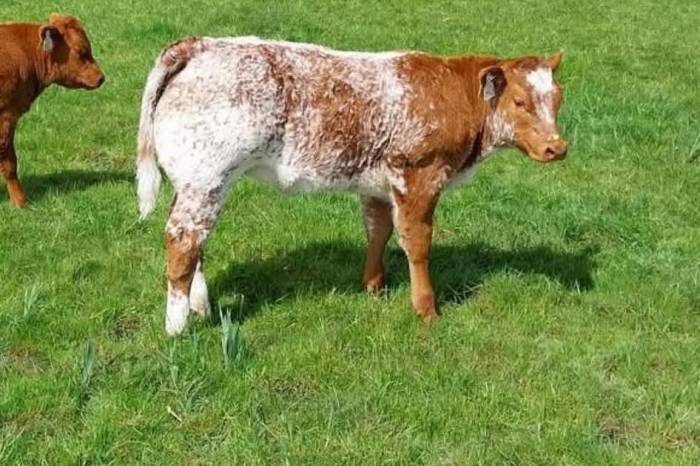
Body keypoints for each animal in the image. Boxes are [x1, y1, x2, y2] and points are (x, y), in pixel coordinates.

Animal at [136, 37, 567, 336]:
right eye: (519, 101)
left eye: (558, 99)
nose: (557, 147)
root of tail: (200, 44)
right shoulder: (420, 175)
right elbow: (417, 243)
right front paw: (427, 309)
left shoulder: (377, 184)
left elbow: (378, 230)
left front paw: (374, 286)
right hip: (206, 177)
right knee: (183, 240)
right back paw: (177, 328)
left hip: (195, 183)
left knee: (197, 243)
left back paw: (201, 307)